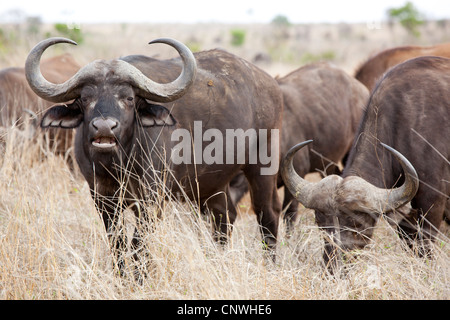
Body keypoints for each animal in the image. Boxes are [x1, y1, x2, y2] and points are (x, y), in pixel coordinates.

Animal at [25, 37, 282, 272]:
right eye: (85, 98)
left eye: (129, 98)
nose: (105, 127)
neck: (118, 164)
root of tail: (270, 85)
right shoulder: (102, 199)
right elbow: (117, 243)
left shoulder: (151, 200)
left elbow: (138, 245)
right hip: (211, 183)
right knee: (225, 215)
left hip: (263, 166)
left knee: (267, 214)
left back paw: (270, 265)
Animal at [284, 56, 448, 272]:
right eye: (320, 222)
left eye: (358, 224)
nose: (333, 267)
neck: (404, 124)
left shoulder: (432, 202)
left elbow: (424, 246)